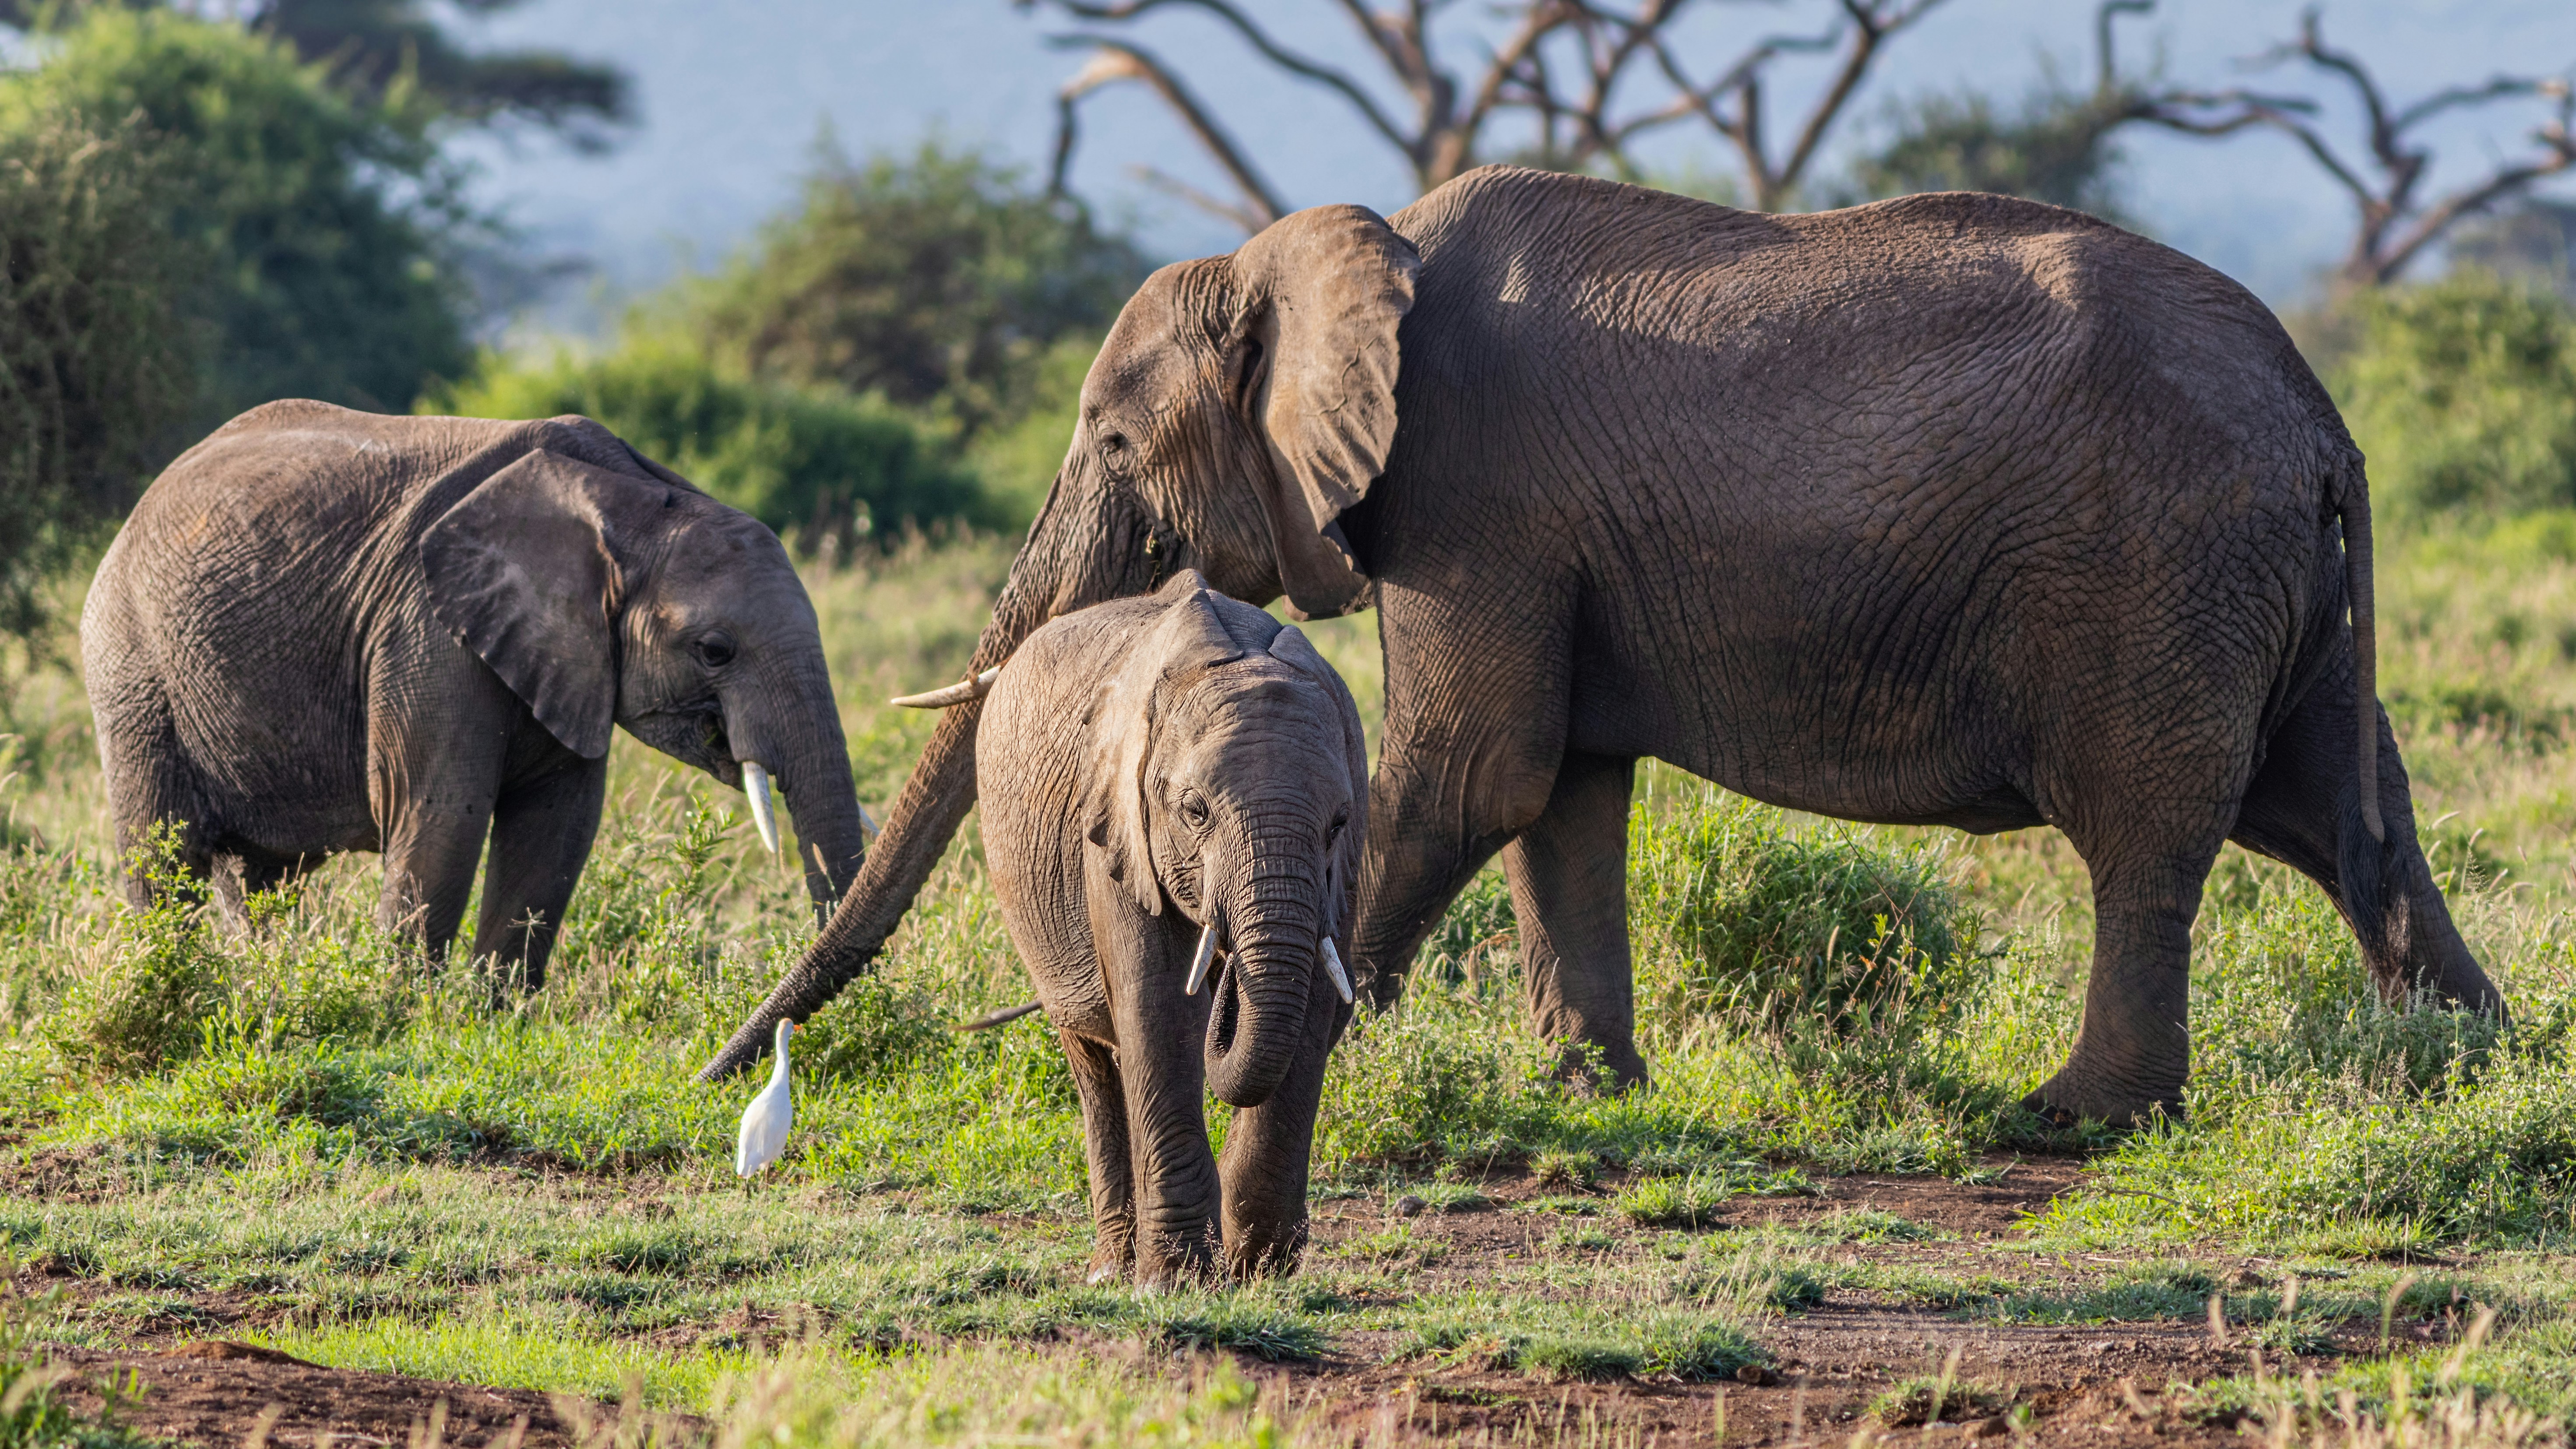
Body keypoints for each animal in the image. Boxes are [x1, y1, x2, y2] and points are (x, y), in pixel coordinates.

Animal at [83, 400, 870, 984]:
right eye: (714, 651)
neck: (631, 500)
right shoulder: (425, 629)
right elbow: (441, 817)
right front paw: (406, 1019)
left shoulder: (570, 658)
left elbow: (557, 829)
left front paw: (495, 1019)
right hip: (132, 669)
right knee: (161, 858)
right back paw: (171, 982)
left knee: (260, 879)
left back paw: (268, 983)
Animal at [701, 165, 2503, 1128]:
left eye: (1111, 439)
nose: (730, 1063)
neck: (1324, 246)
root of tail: (2322, 421)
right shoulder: (1538, 536)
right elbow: (1553, 786)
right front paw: (1586, 1091)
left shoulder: (1475, 492)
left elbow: (1464, 768)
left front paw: (1315, 1058)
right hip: (2262, 590)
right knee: (2336, 814)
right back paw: (2458, 1064)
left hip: (2157, 573)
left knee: (2147, 830)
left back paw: (2071, 1116)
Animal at [978, 570, 1365, 1284]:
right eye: (1195, 811)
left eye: (1339, 822)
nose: (1227, 980)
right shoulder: (1114, 824)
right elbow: (1157, 1006)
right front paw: (1175, 1280)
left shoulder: (1343, 868)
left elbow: (1315, 1004)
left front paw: (1259, 1266)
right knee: (1093, 1059)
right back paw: (1111, 1269)